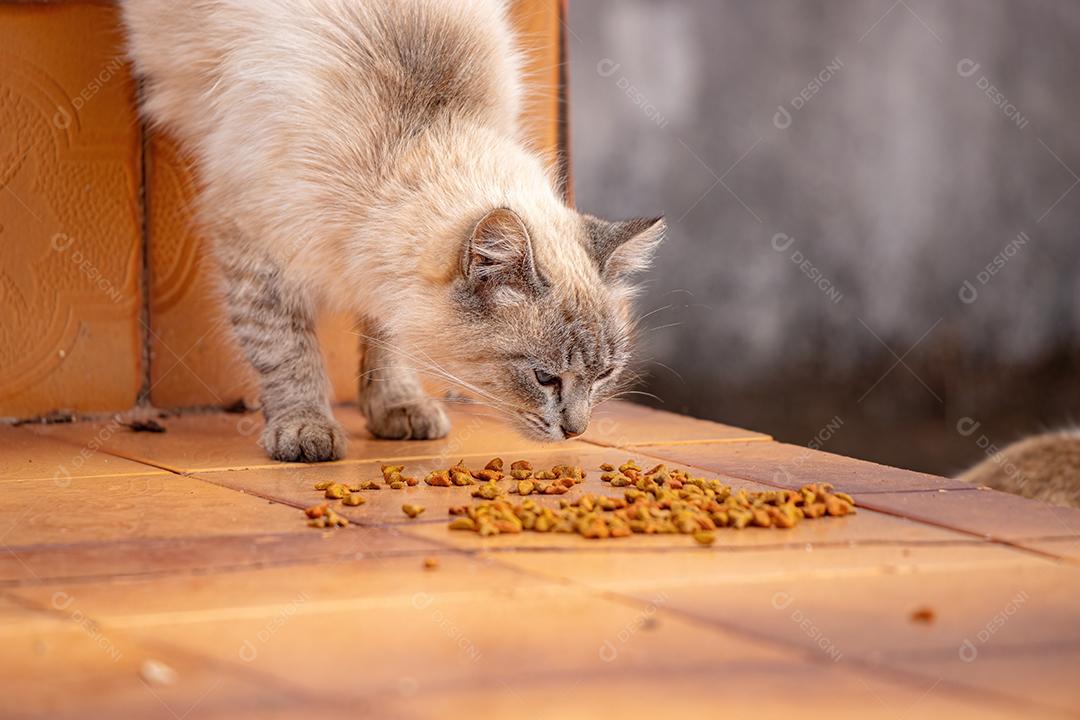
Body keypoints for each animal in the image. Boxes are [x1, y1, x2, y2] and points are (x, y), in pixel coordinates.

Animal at [116, 0, 656, 462]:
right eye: (544, 378)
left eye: (605, 374)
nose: (577, 431)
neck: (422, 126)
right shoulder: (257, 250)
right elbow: (288, 352)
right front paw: (305, 428)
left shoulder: (379, 272)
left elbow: (386, 337)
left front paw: (396, 406)